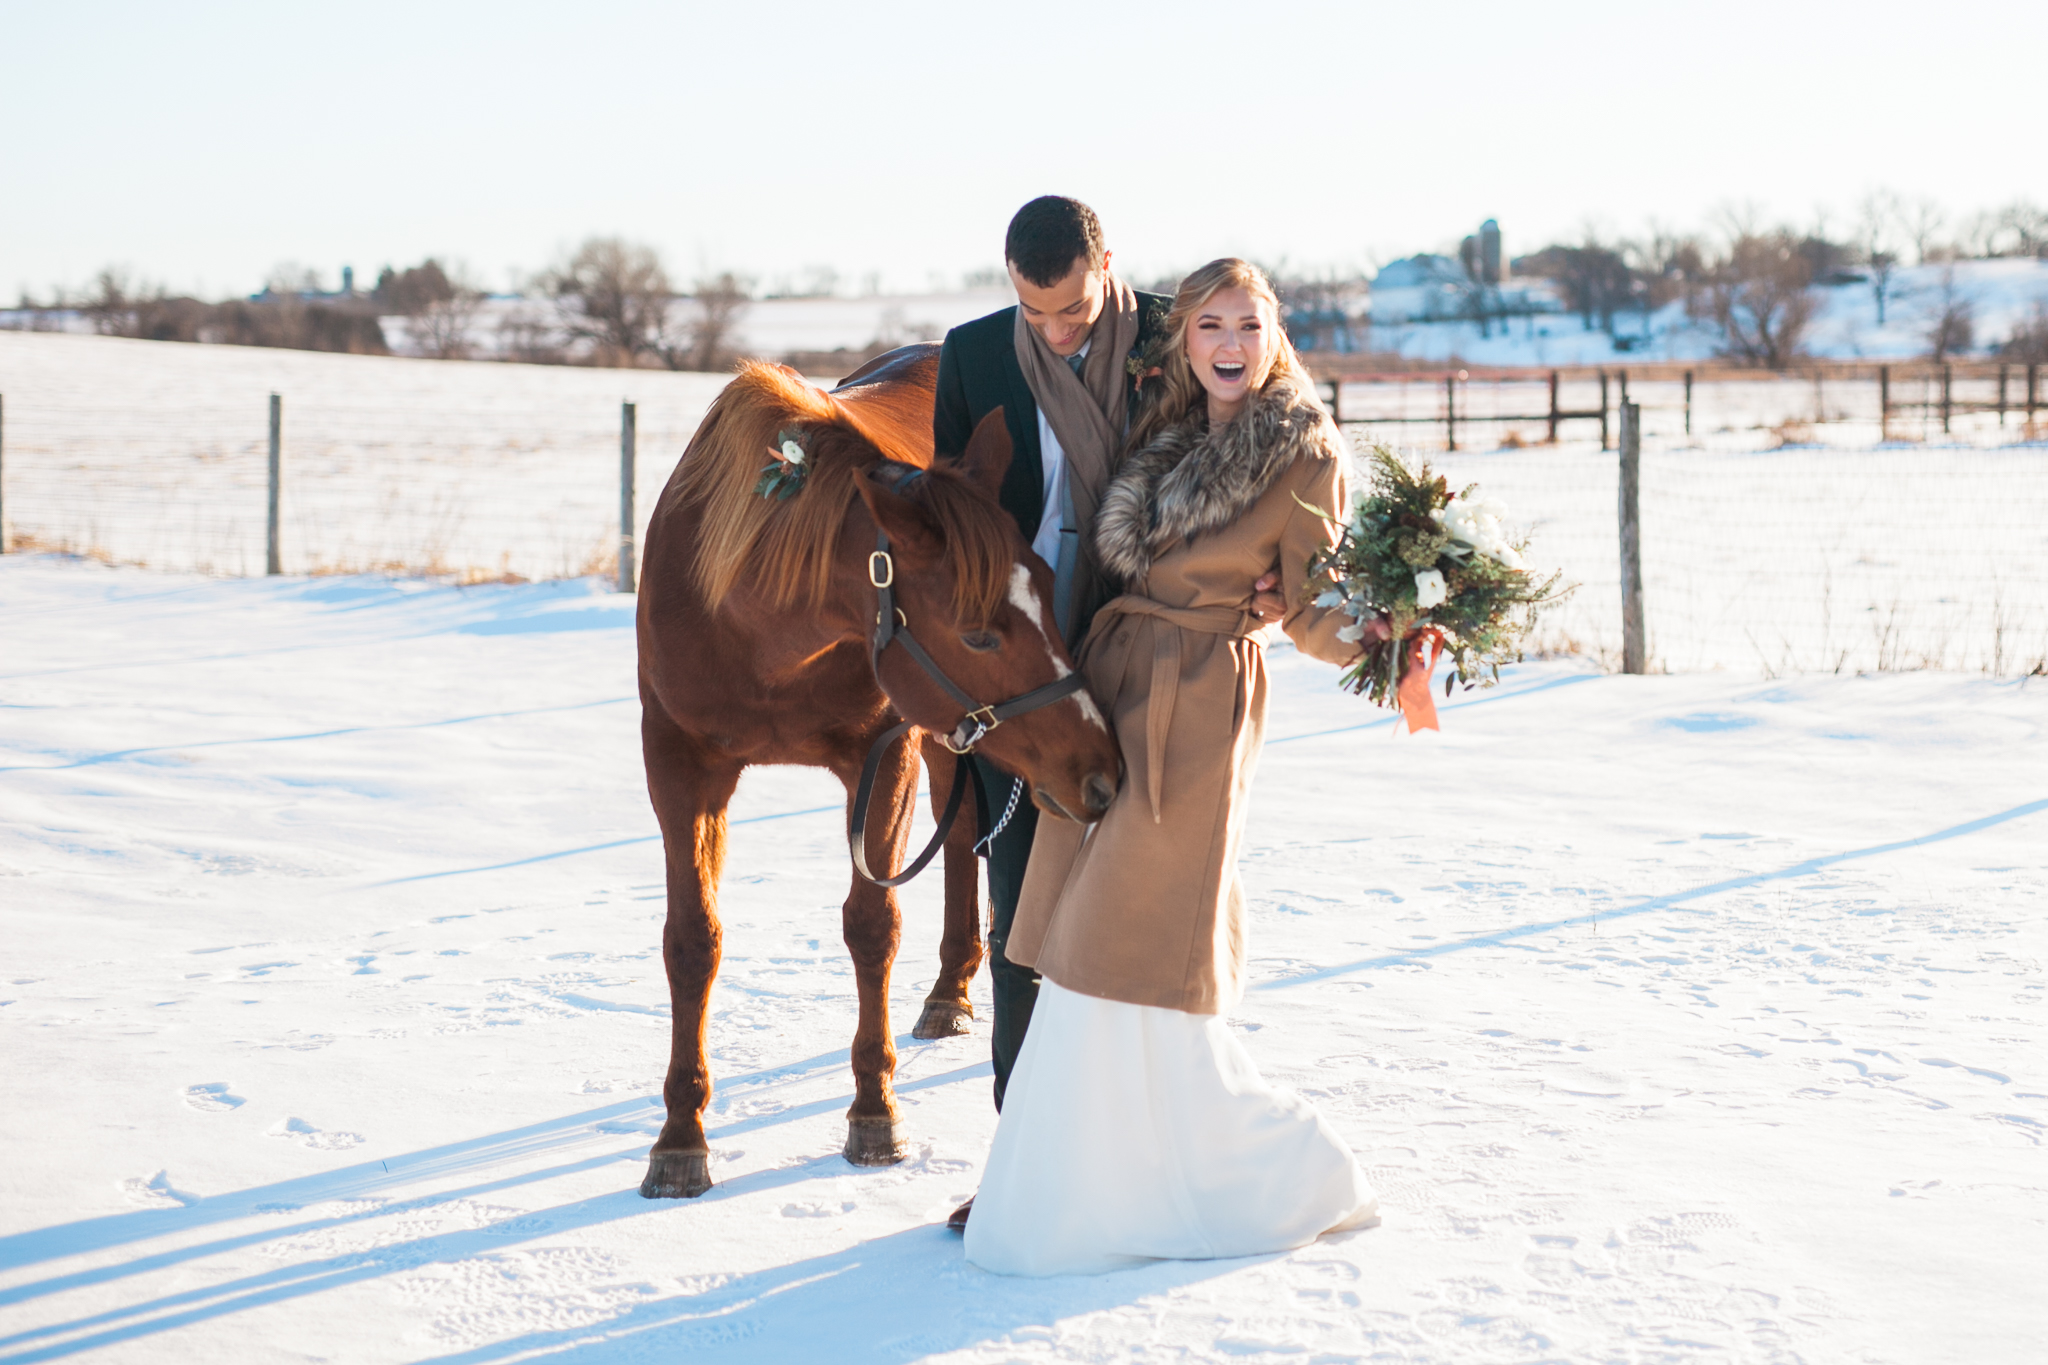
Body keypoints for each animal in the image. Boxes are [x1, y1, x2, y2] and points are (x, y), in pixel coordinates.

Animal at [638, 341, 1122, 1195]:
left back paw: (952, 987)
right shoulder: (677, 764)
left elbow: (872, 926)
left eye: (1048, 585)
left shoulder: (885, 752)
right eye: (978, 633)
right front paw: (681, 1134)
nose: (1101, 770)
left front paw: (873, 1111)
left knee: (962, 838)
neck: (755, 618)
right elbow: (693, 940)